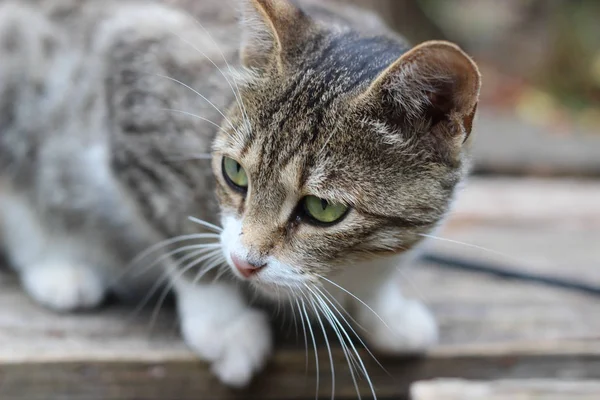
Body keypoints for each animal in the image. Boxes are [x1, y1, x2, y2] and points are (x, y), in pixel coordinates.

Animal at [0, 0, 480, 390]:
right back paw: (58, 265)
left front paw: (384, 311)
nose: (245, 263)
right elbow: (181, 231)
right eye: (234, 173)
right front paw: (223, 326)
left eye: (323, 208)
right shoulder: (139, 73)